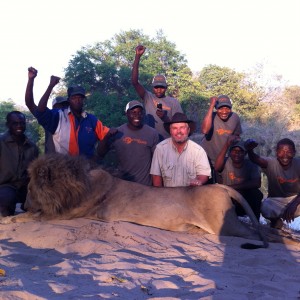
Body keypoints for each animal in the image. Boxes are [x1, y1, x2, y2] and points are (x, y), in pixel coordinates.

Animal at [8, 154, 300, 247]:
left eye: (30, 188)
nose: (26, 202)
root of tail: (220, 185)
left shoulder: (67, 213)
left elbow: (30, 217)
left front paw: (12, 218)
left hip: (226, 226)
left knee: (262, 234)